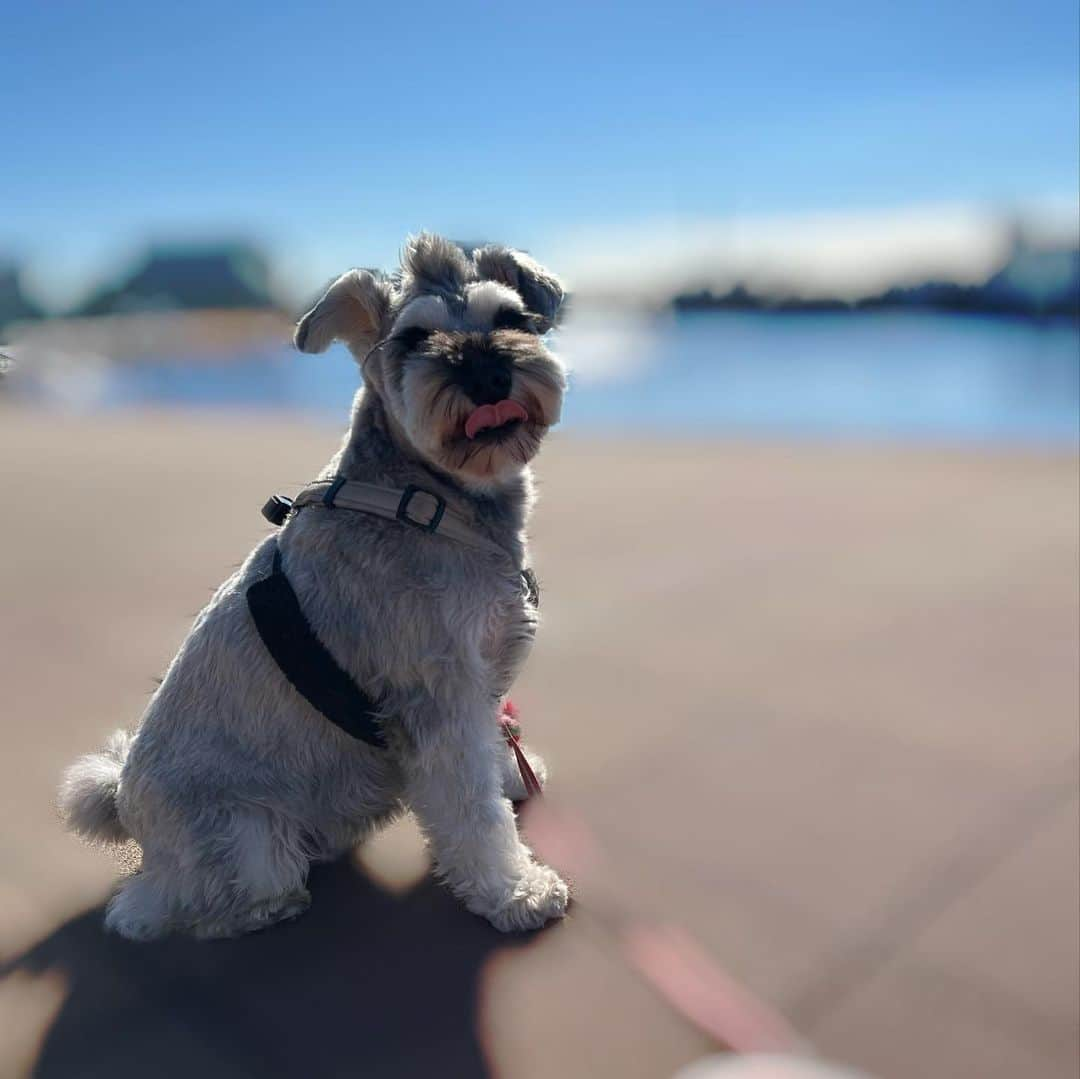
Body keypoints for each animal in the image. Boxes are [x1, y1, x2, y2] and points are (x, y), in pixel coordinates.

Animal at [56, 234, 574, 937]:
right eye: (414, 338)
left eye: (512, 318)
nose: (488, 376)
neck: (430, 498)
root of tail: (127, 807)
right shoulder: (436, 696)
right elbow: (472, 810)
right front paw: (516, 891)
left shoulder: (478, 677)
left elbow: (491, 749)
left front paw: (513, 776)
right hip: (245, 840)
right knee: (160, 908)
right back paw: (266, 905)